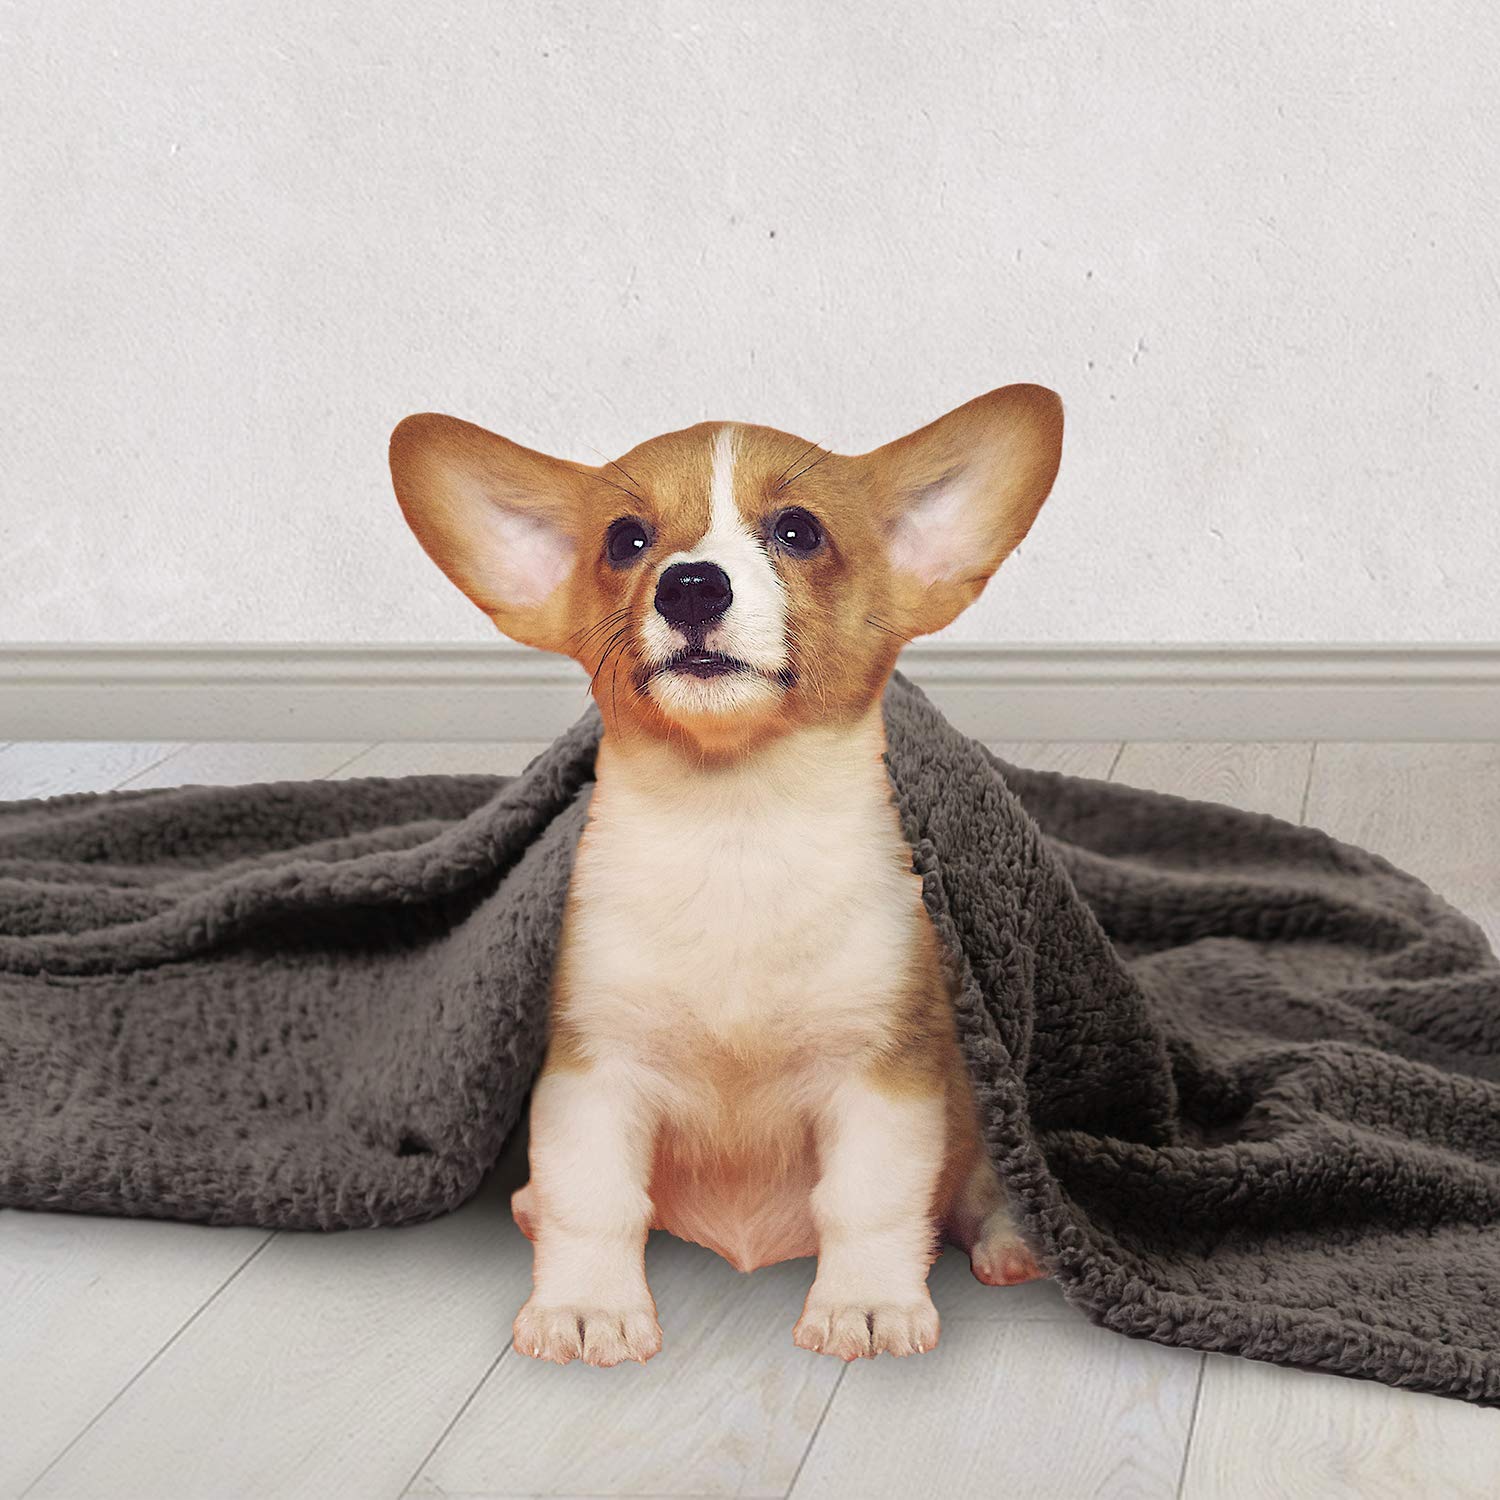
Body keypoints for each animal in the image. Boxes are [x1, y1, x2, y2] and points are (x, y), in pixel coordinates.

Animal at [389, 383, 1063, 1366]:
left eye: (798, 531)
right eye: (626, 540)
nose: (692, 584)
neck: (734, 827)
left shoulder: (883, 1075)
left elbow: (869, 1203)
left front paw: (866, 1305)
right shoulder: (596, 1072)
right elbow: (594, 1202)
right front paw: (587, 1307)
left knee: (983, 1190)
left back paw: (1014, 1245)